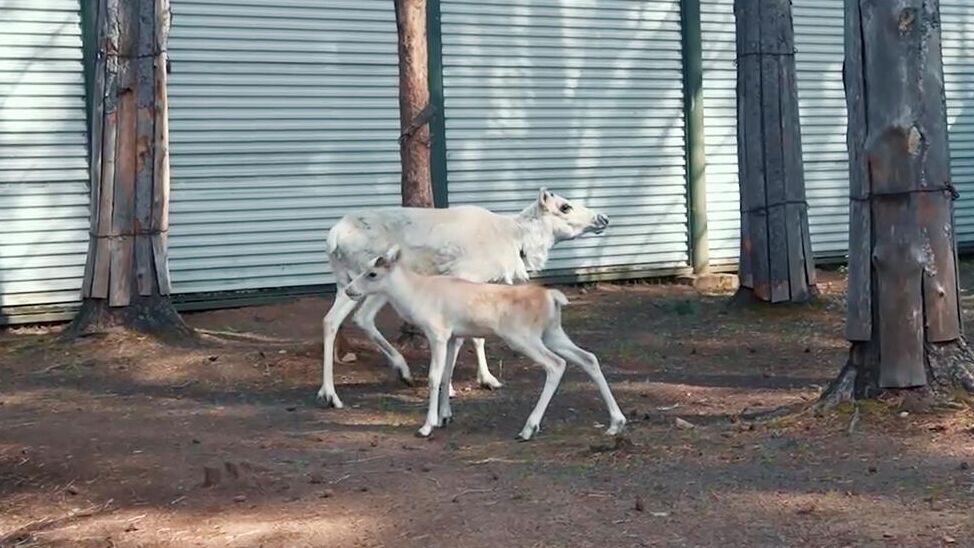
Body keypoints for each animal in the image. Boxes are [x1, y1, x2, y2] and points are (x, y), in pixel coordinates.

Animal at [346, 247, 628, 440]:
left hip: (523, 336)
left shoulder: (437, 333)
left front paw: (426, 426)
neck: (414, 295)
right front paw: (444, 417)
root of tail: (553, 298)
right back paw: (616, 423)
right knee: (588, 358)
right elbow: (447, 375)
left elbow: (434, 377)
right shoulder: (454, 336)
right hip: (552, 333)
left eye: (372, 273)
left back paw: (528, 428)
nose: (349, 290)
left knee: (556, 364)